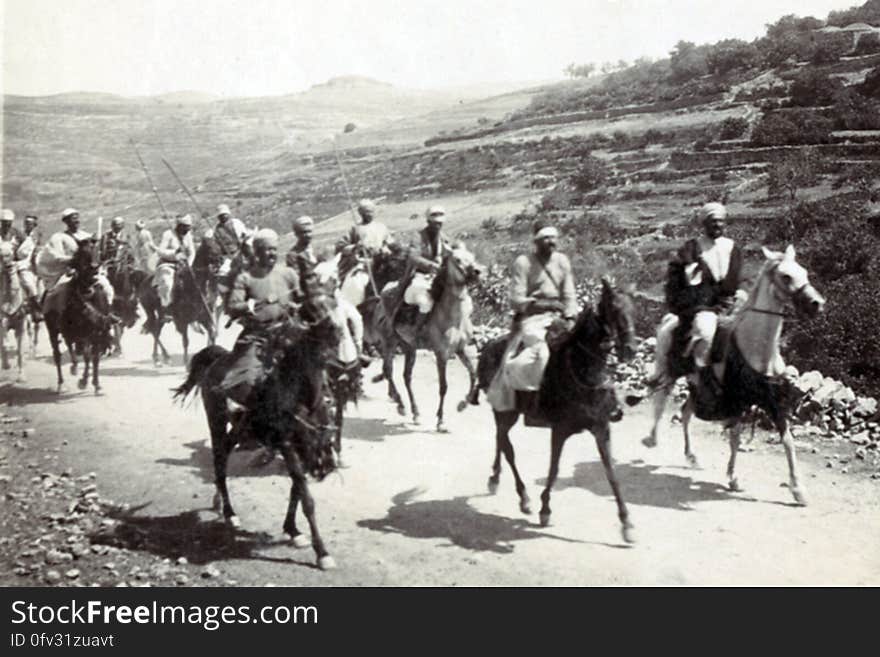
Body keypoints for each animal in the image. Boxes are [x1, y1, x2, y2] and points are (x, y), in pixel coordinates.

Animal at [43, 241, 117, 394]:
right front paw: (83, 380)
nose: (94, 269)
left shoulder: (95, 334)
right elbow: (86, 355)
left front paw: (95, 383)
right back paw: (61, 383)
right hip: (53, 329)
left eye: (96, 251)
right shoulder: (79, 333)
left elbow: (93, 358)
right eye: (82, 254)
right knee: (57, 354)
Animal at [174, 292, 344, 568]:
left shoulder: (306, 446)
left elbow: (296, 491)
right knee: (219, 460)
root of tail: (217, 358)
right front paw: (322, 553)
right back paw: (229, 513)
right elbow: (306, 498)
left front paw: (293, 531)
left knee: (224, 456)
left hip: (238, 429)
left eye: (333, 301)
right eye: (311, 309)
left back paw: (219, 501)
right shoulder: (287, 445)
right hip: (216, 421)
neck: (302, 394)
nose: (335, 329)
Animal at [368, 245, 484, 430]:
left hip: (409, 347)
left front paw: (463, 404)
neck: (452, 317)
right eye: (457, 260)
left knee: (406, 376)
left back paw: (415, 412)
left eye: (471, 256)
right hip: (389, 343)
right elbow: (443, 386)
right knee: (388, 370)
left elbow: (473, 374)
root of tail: (382, 298)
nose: (478, 272)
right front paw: (441, 420)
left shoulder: (460, 349)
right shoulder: (441, 354)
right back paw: (400, 403)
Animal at [470, 280, 636, 540]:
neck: (582, 369)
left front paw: (626, 523)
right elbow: (554, 469)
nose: (630, 349)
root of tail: (488, 346)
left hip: (505, 413)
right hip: (506, 412)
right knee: (507, 447)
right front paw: (545, 509)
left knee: (500, 440)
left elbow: (611, 473)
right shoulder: (560, 430)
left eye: (633, 310)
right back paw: (523, 497)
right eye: (615, 310)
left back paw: (495, 479)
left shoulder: (602, 428)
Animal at [640, 243, 824, 504]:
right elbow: (735, 438)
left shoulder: (771, 401)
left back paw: (691, 455)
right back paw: (652, 438)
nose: (817, 303)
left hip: (697, 385)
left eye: (804, 272)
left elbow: (787, 440)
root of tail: (669, 319)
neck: (757, 349)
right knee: (660, 399)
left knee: (685, 413)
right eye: (786, 276)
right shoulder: (736, 401)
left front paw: (798, 489)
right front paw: (733, 477)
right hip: (670, 372)